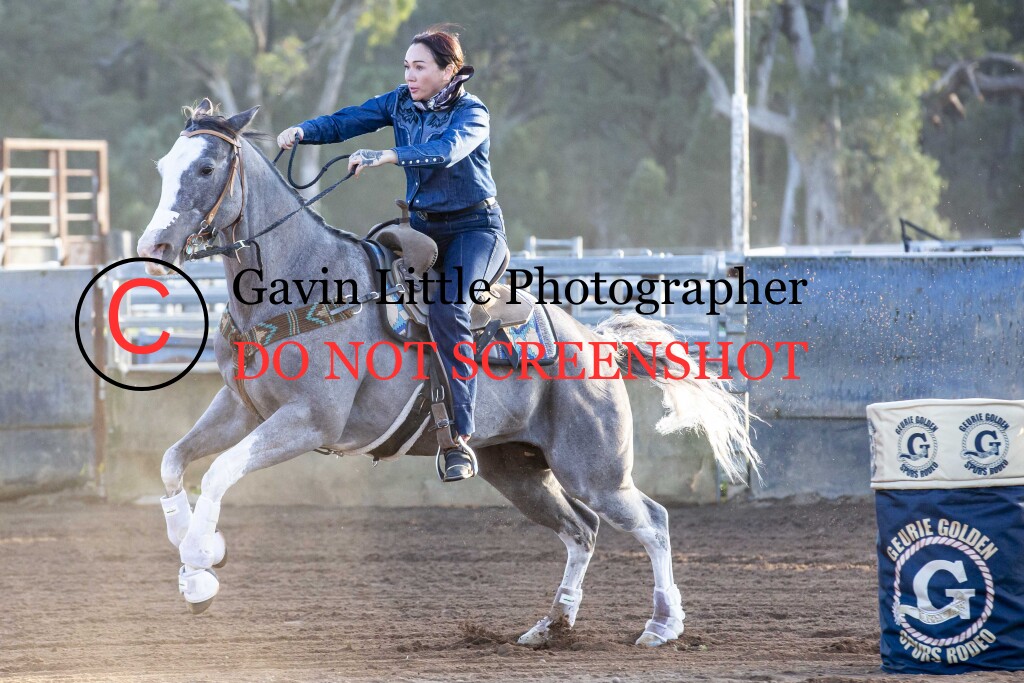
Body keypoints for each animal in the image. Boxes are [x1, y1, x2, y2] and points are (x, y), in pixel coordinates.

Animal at [136, 100, 760, 647]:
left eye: (206, 167)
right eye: (163, 166)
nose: (155, 246)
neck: (299, 285)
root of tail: (595, 344)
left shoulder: (309, 420)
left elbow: (219, 471)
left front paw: (201, 560)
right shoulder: (240, 406)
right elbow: (173, 461)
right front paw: (196, 560)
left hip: (597, 471)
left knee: (652, 521)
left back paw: (661, 626)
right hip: (517, 471)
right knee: (580, 531)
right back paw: (551, 626)